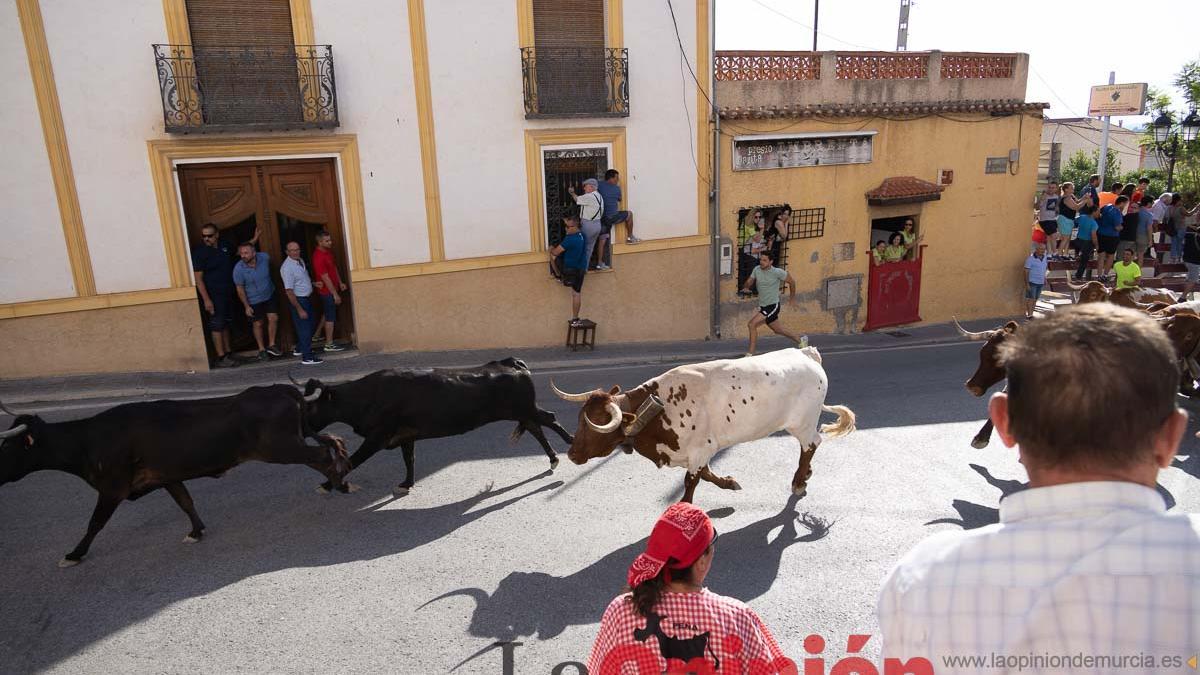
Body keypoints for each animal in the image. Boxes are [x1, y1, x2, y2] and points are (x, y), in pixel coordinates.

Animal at [1, 384, 350, 562]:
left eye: (8, 446)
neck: (87, 441)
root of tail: (282, 390)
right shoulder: (167, 477)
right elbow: (185, 501)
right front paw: (196, 531)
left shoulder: (112, 489)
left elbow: (95, 522)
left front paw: (74, 553)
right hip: (288, 444)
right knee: (328, 446)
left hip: (282, 449)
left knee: (322, 454)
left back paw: (337, 484)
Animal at [297, 355, 573, 492]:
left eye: (310, 407)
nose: (301, 429)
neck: (366, 396)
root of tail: (512, 363)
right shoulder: (405, 436)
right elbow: (409, 459)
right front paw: (407, 484)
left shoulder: (377, 437)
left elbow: (351, 461)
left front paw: (326, 485)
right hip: (520, 411)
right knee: (537, 426)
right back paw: (553, 458)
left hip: (524, 408)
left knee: (548, 418)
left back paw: (569, 443)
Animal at [552, 345, 854, 499]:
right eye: (580, 419)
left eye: (595, 423)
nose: (572, 454)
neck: (658, 408)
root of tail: (805, 352)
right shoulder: (698, 452)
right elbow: (707, 474)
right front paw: (729, 482)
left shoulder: (700, 449)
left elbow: (691, 482)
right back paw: (806, 475)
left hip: (803, 423)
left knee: (811, 445)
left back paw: (799, 481)